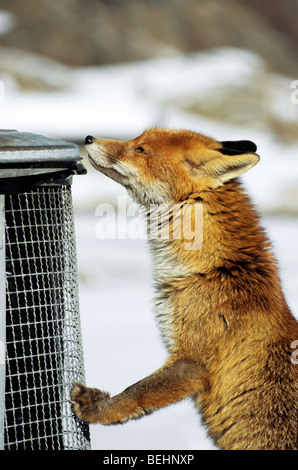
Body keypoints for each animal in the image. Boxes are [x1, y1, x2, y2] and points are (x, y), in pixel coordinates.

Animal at [72, 126, 298, 450]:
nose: (89, 138)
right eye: (136, 140)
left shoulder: (191, 362)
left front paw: (96, 409)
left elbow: (136, 392)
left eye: (140, 149)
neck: (215, 267)